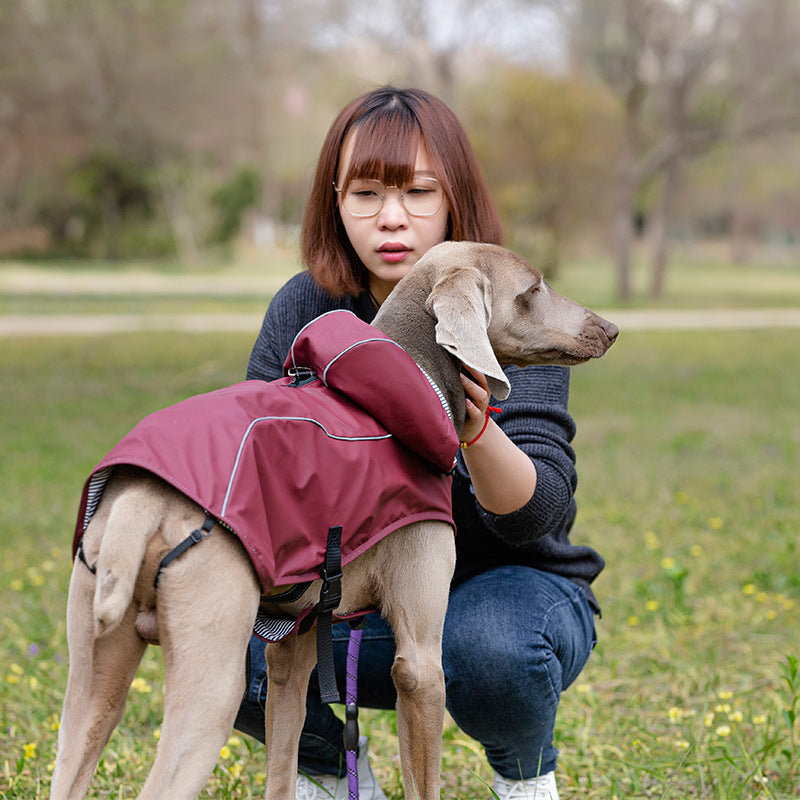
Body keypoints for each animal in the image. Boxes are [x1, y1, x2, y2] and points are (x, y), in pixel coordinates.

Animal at [50, 242, 620, 800]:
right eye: (533, 288)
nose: (611, 327)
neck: (414, 372)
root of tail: (143, 501)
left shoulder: (294, 647)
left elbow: (281, 771)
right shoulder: (419, 665)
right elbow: (424, 779)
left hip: (92, 685)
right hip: (211, 682)